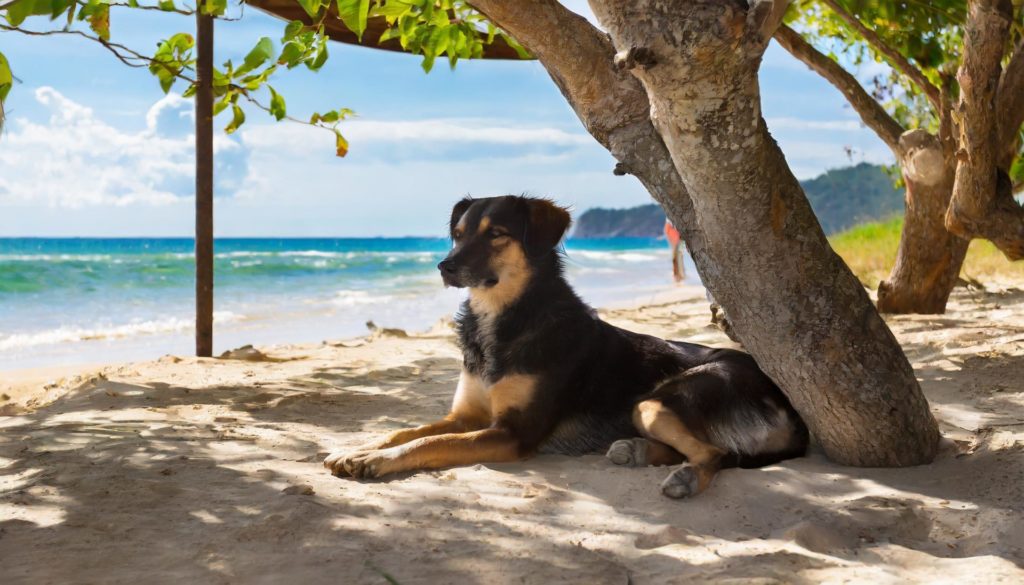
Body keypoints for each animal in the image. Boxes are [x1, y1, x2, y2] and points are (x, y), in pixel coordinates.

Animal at [321, 196, 806, 499]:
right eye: (457, 233)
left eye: (496, 234)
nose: (445, 265)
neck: (503, 319)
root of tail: (787, 402)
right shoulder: (464, 416)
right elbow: (406, 431)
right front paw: (358, 448)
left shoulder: (512, 433)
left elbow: (426, 443)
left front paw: (376, 460)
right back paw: (635, 451)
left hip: (660, 399)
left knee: (717, 454)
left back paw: (682, 477)